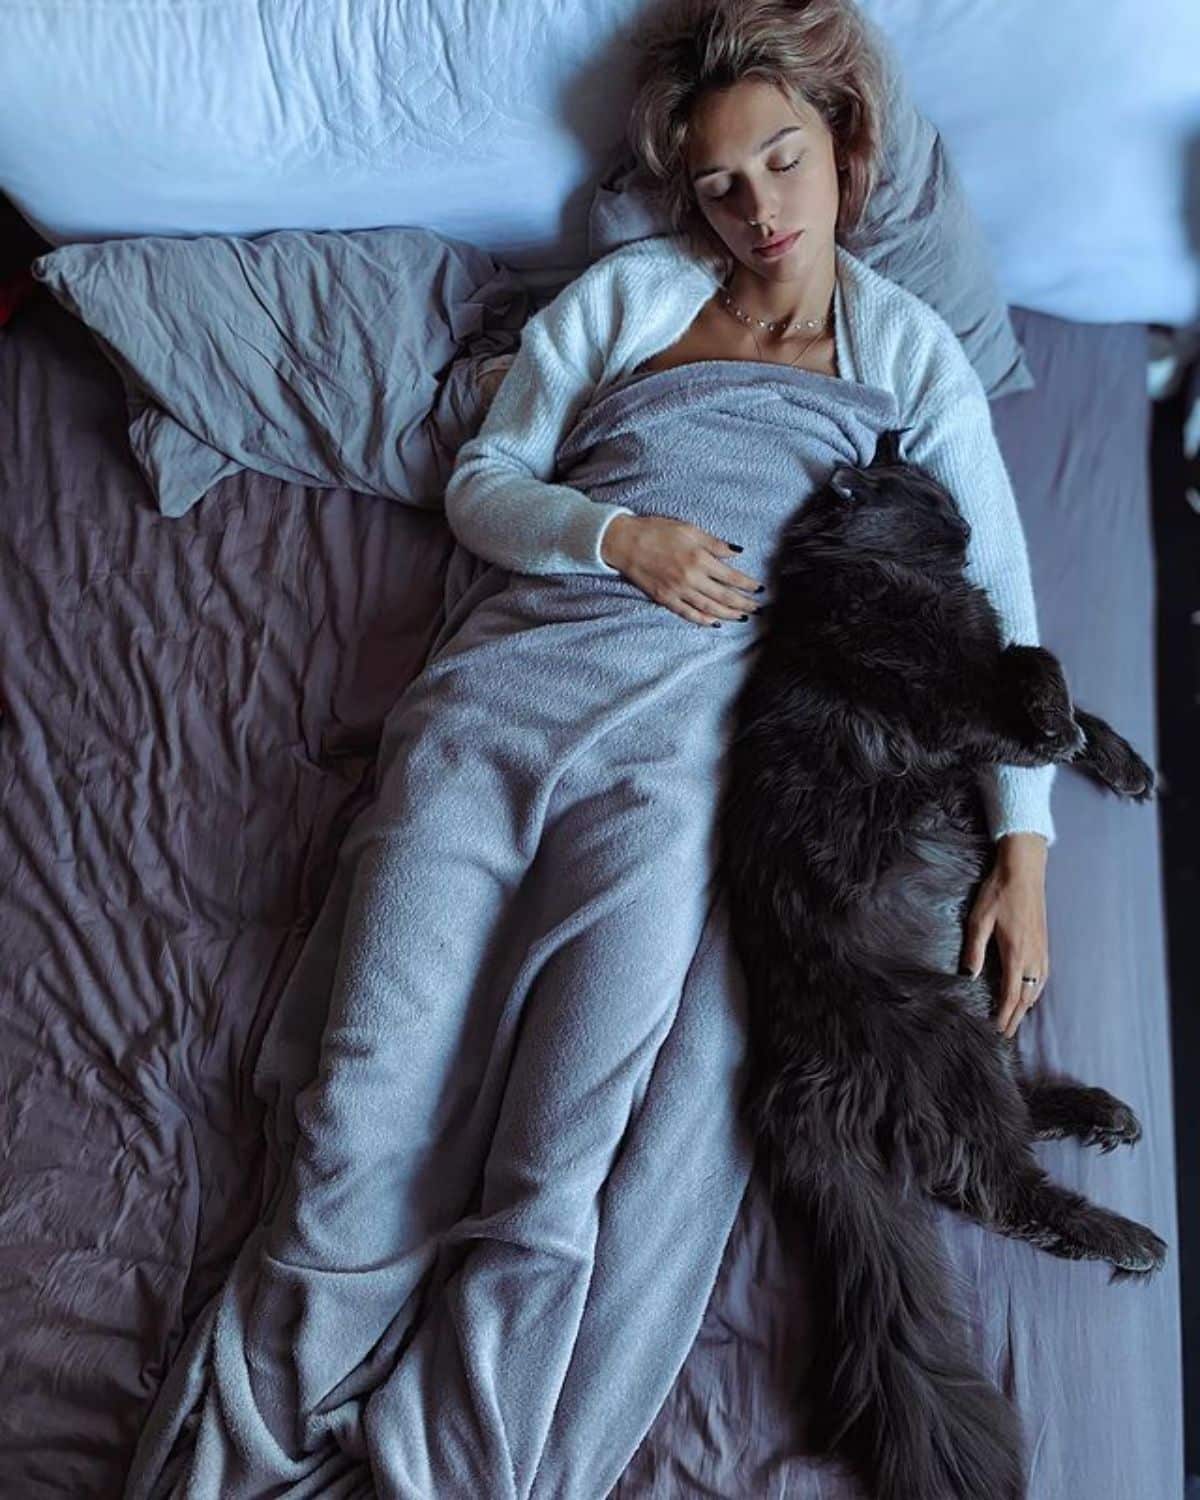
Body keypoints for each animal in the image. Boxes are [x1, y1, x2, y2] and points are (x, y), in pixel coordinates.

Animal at [717, 432, 1170, 1500]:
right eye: (923, 503)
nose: (965, 524)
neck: (894, 584)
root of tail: (788, 1079)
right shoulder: (947, 698)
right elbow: (1038, 666)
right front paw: (1063, 726)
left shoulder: (974, 675)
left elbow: (1054, 684)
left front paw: (1120, 760)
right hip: (952, 1044)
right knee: (996, 1189)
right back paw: (1131, 1238)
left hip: (977, 1023)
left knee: (1003, 1138)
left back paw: (1104, 1116)